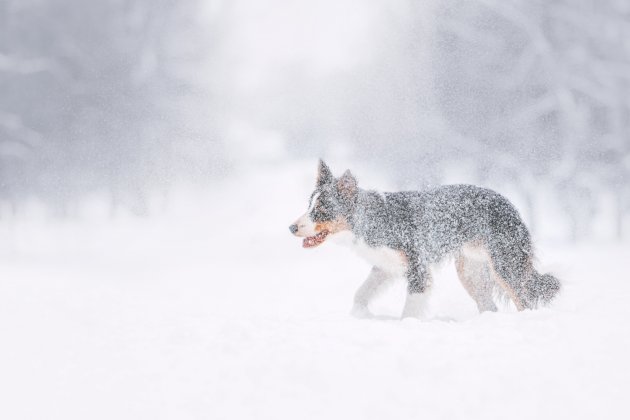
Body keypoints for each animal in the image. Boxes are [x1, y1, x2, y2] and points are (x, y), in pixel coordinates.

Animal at [288, 161, 560, 318]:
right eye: (309, 205)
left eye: (321, 210)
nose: (291, 227)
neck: (372, 220)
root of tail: (512, 206)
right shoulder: (384, 266)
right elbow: (361, 293)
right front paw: (360, 315)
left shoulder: (417, 267)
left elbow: (410, 307)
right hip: (471, 272)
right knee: (490, 306)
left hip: (504, 265)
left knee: (525, 300)